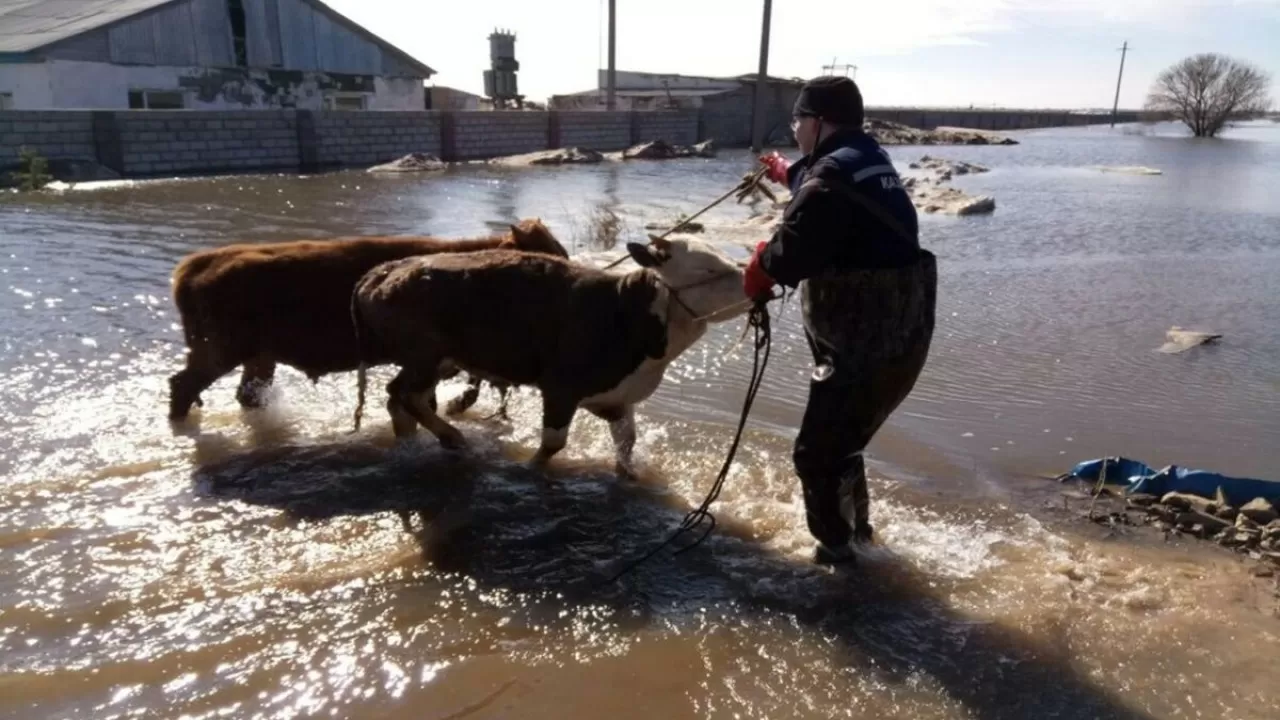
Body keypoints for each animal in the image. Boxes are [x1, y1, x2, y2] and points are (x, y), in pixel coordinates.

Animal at [167, 219, 568, 420]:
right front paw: (454, 405)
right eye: (547, 255)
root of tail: (196, 264)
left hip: (259, 357)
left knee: (247, 394)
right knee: (182, 386)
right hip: (219, 351)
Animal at [350, 233, 747, 476]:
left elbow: (626, 441)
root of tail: (383, 271)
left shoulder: (616, 397)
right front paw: (530, 467)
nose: (750, 278)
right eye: (709, 268)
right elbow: (554, 443)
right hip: (425, 354)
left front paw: (628, 474)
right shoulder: (560, 388)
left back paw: (411, 444)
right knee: (404, 395)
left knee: (400, 401)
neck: (623, 313)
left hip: (435, 361)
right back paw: (453, 438)